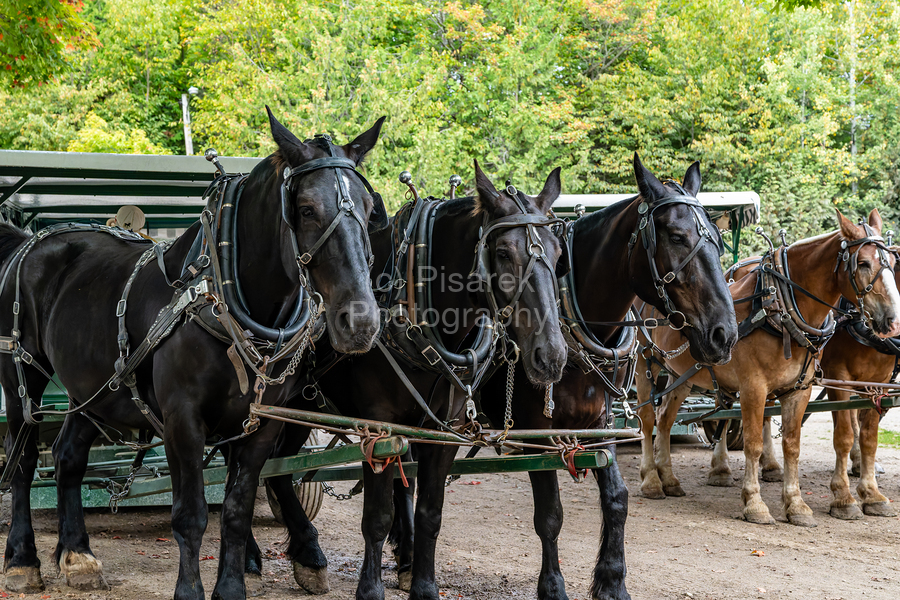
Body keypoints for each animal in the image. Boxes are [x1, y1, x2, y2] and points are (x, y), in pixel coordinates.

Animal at [0, 109, 387, 600]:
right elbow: (191, 515)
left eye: (371, 209)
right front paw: (190, 590)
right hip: (21, 375)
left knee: (68, 456)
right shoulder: (182, 419)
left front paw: (231, 588)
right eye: (305, 209)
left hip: (92, 389)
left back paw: (78, 555)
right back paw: (22, 560)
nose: (360, 323)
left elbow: (237, 511)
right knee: (24, 462)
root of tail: (27, 241)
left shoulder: (261, 424)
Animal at [246, 161, 570, 600]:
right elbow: (376, 517)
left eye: (558, 254)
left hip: (307, 403)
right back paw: (284, 554)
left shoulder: (444, 431)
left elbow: (430, 513)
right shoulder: (379, 427)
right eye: (502, 253)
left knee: (279, 467)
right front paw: (370, 588)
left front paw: (423, 583)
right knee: (264, 467)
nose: (552, 356)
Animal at [636, 209, 900, 527]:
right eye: (862, 263)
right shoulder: (756, 387)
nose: (893, 321)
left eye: (894, 263)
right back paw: (652, 479)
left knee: (664, 419)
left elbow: (796, 444)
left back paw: (669, 478)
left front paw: (797, 504)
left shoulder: (805, 389)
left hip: (681, 375)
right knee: (647, 419)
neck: (778, 307)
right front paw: (755, 503)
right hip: (645, 361)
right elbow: (754, 443)